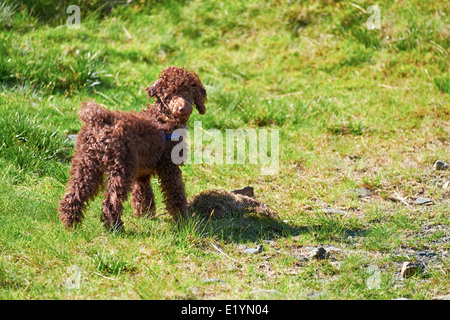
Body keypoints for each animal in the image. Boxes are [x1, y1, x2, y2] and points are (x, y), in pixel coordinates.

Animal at [58, 65, 207, 230]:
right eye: (169, 95)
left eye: (187, 92)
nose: (181, 108)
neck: (164, 116)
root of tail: (100, 119)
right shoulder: (169, 167)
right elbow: (176, 192)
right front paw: (182, 218)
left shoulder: (141, 173)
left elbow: (142, 193)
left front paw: (145, 215)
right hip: (121, 167)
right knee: (111, 200)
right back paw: (115, 227)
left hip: (87, 163)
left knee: (74, 193)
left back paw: (70, 224)